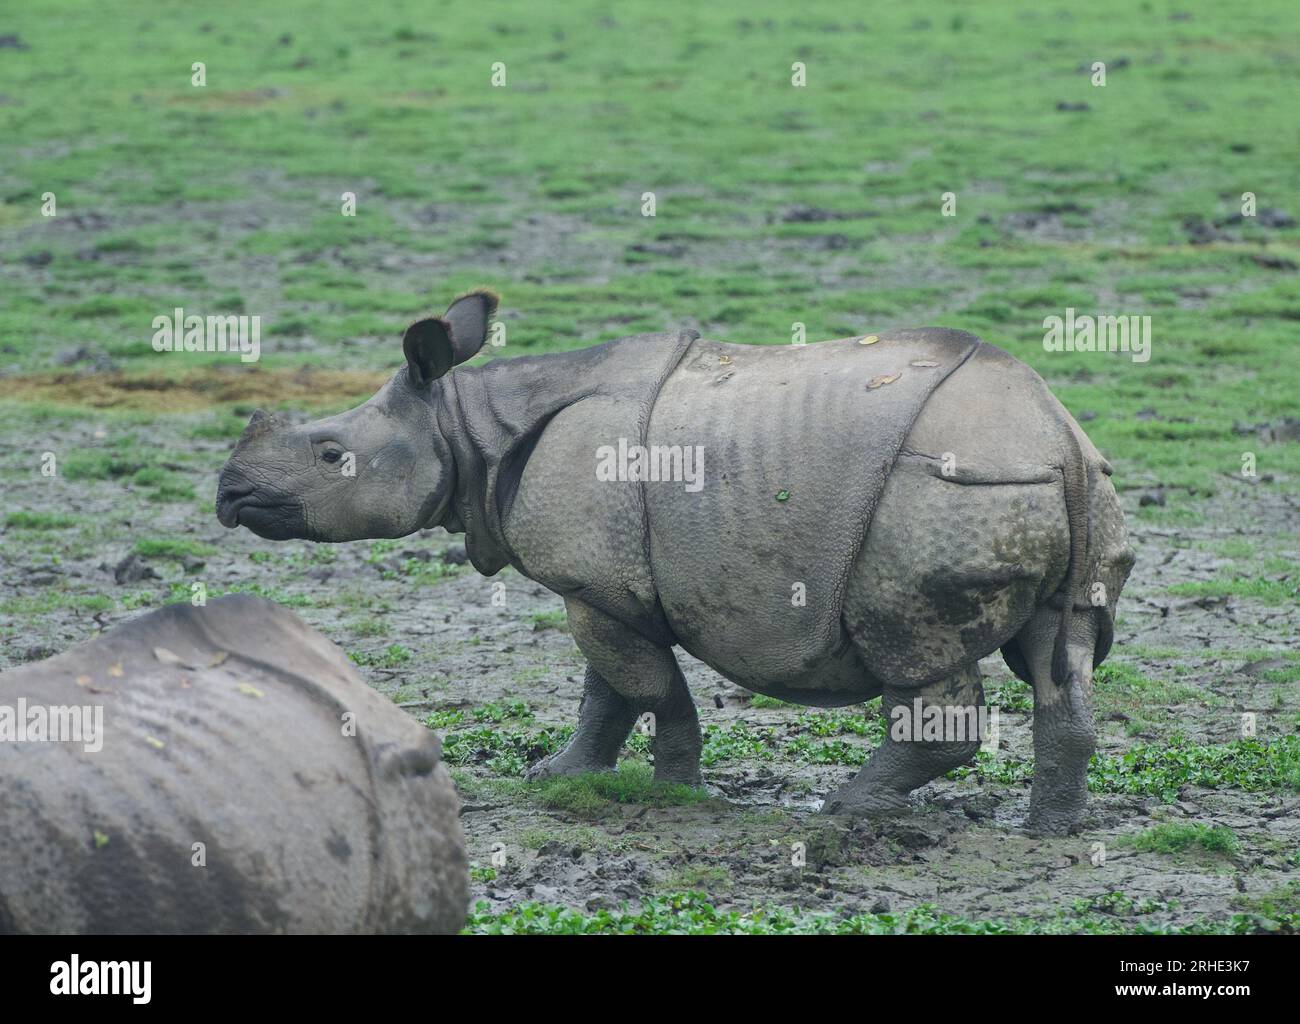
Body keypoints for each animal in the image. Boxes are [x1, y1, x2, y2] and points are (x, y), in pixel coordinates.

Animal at [217, 290, 1134, 835]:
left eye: (330, 454)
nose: (228, 492)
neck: (467, 430)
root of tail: (1057, 435)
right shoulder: (603, 586)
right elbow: (608, 693)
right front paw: (560, 775)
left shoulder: (596, 584)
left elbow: (647, 688)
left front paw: (672, 791)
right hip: (1051, 485)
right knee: (1060, 655)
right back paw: (1052, 830)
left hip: (939, 491)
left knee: (914, 649)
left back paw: (846, 809)